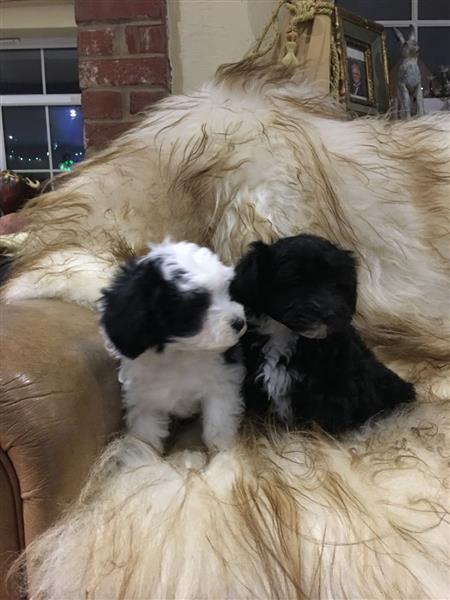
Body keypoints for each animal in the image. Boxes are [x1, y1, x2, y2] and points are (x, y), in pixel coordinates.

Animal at [99, 239, 246, 450]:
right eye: (196, 305)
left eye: (226, 291)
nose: (239, 322)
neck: (180, 353)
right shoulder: (144, 399)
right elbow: (146, 436)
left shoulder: (221, 382)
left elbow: (218, 422)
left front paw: (223, 450)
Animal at [230, 232, 416, 434]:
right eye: (295, 281)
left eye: (336, 285)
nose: (329, 313)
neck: (285, 333)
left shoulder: (333, 386)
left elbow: (325, 418)